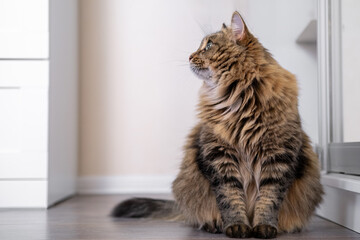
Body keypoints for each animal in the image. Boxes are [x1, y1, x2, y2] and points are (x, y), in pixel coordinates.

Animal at [112, 10, 324, 238]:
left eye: (209, 45)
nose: (189, 56)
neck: (238, 101)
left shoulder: (278, 158)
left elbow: (269, 199)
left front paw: (264, 227)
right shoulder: (219, 158)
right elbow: (230, 198)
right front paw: (236, 226)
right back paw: (212, 224)